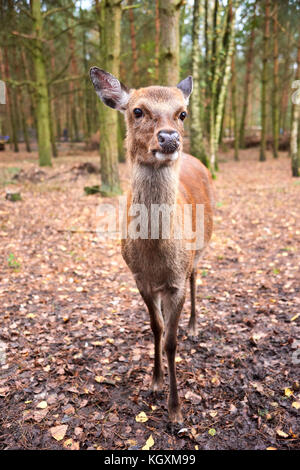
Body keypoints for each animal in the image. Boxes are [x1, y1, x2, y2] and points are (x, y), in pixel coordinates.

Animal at [89, 68, 213, 424]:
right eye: (137, 111)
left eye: (182, 113)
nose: (169, 138)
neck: (158, 258)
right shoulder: (140, 279)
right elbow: (156, 329)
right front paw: (155, 382)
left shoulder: (175, 282)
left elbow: (171, 341)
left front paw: (176, 410)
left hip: (199, 251)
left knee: (196, 278)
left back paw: (194, 326)